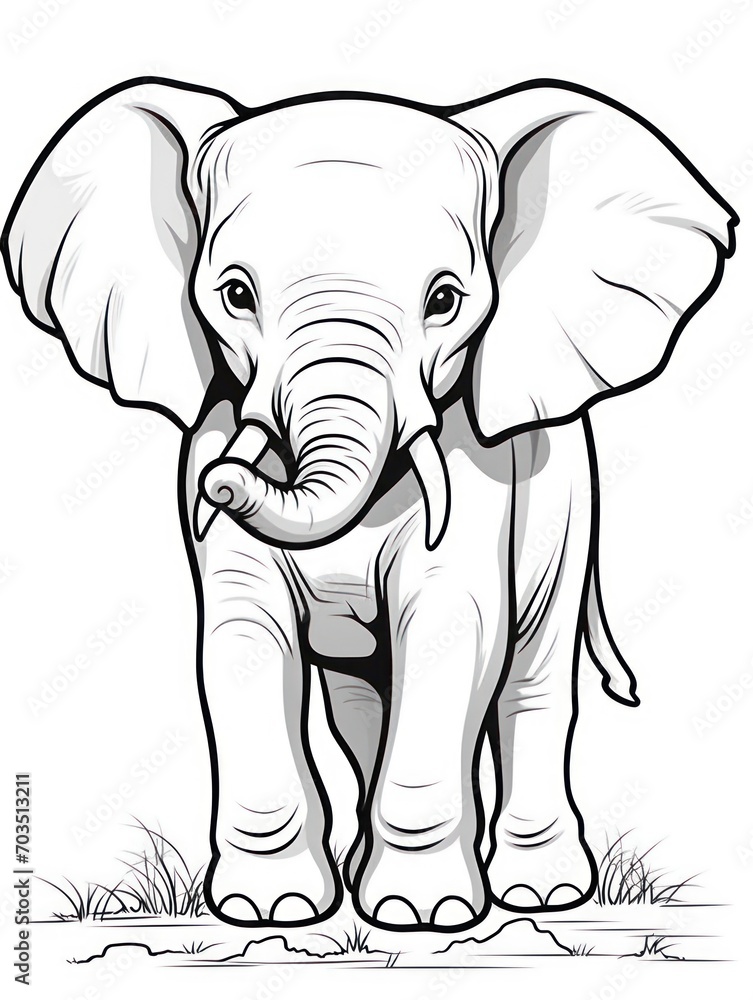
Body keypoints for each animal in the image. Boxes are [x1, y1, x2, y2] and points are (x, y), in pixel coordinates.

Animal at [2, 77, 736, 932]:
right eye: (234, 294)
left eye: (445, 299)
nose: (222, 484)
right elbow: (243, 635)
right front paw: (272, 911)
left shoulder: (478, 473)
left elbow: (451, 629)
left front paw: (423, 916)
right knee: (360, 700)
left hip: (567, 504)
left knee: (532, 678)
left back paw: (540, 894)